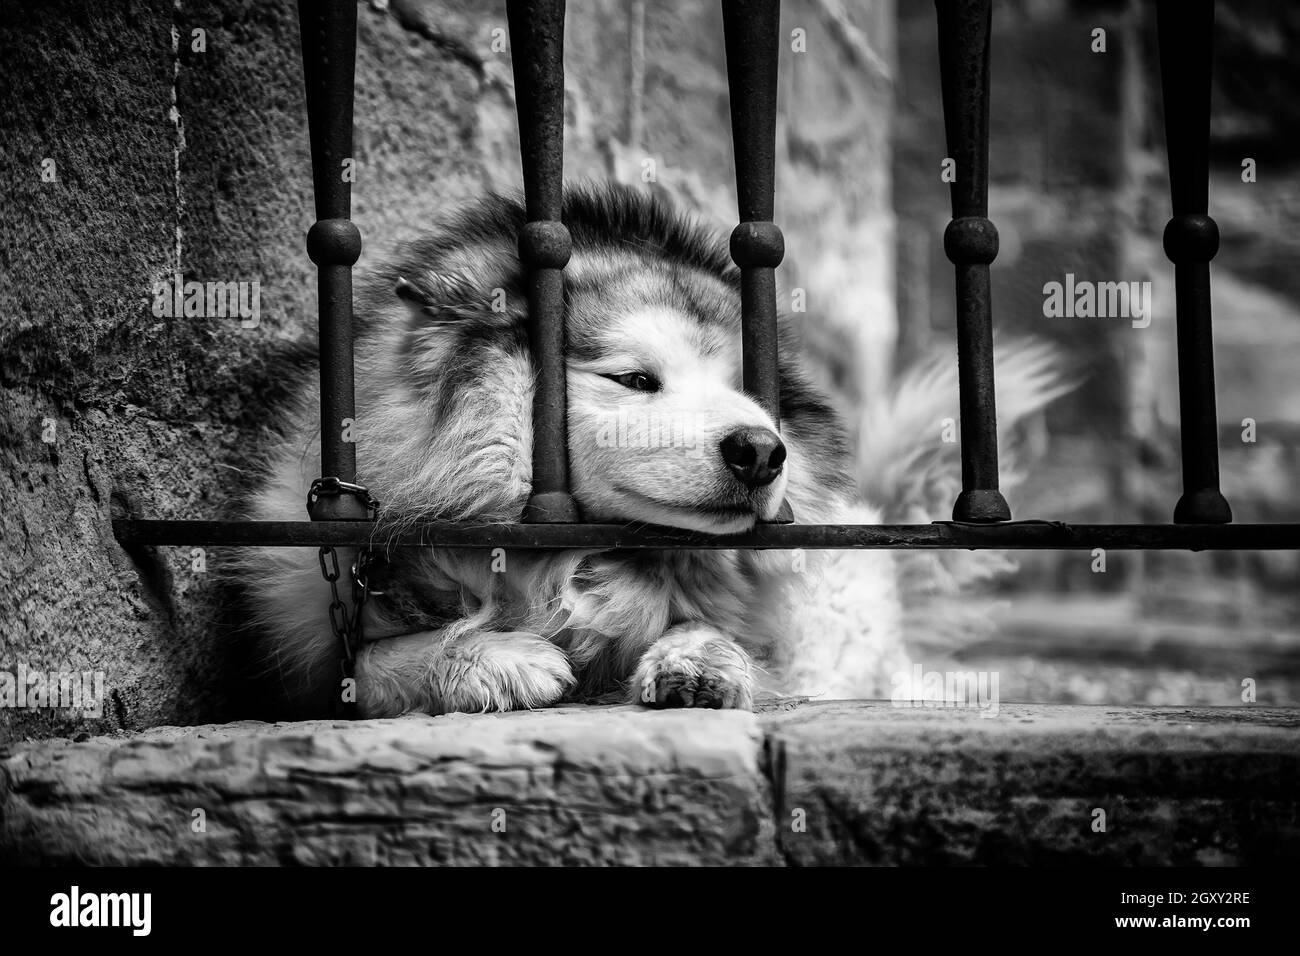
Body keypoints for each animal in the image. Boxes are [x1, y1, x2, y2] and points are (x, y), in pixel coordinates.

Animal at [239, 183, 1060, 717]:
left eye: (750, 393)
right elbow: (373, 664)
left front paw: (698, 658)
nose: (762, 452)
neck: (569, 562)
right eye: (635, 379)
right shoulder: (313, 659)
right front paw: (489, 659)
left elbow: (710, 628)